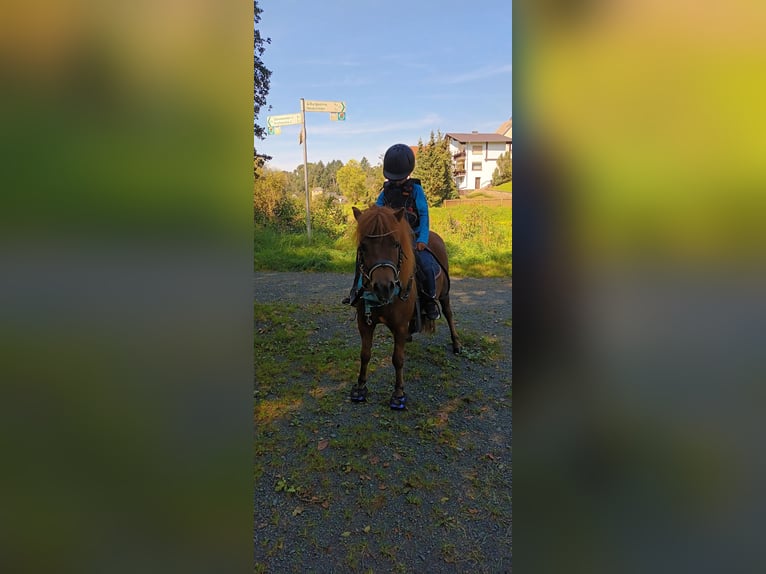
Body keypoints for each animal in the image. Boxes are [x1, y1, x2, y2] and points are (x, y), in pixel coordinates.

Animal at [350, 205, 462, 412]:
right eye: (363, 247)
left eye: (395, 244)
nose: (383, 287)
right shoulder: (365, 324)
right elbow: (365, 354)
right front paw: (360, 388)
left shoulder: (399, 326)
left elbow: (397, 359)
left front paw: (398, 394)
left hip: (444, 295)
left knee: (449, 315)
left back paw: (457, 344)